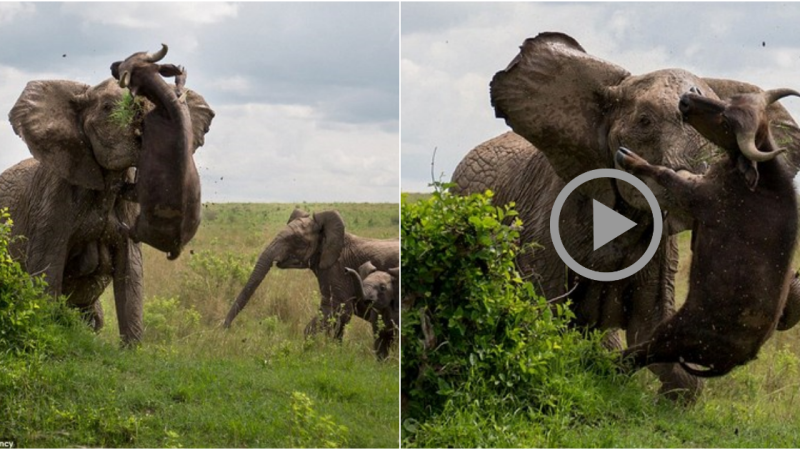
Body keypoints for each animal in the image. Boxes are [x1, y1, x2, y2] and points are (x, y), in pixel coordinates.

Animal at [110, 44, 206, 260]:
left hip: (139, 223)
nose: (113, 64)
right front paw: (181, 75)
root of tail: (177, 245)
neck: (168, 107)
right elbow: (180, 86)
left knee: (129, 230)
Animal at [222, 209, 400, 360]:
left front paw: (309, 354)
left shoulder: (336, 267)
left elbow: (337, 309)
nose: (225, 329)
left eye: (296, 240)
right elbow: (339, 318)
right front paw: (335, 353)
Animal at [620, 87, 800, 376]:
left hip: (670, 335)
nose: (686, 100)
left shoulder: (696, 196)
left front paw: (630, 158)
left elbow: (665, 173)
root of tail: (738, 359)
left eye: (726, 123)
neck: (759, 182)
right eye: (729, 100)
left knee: (637, 355)